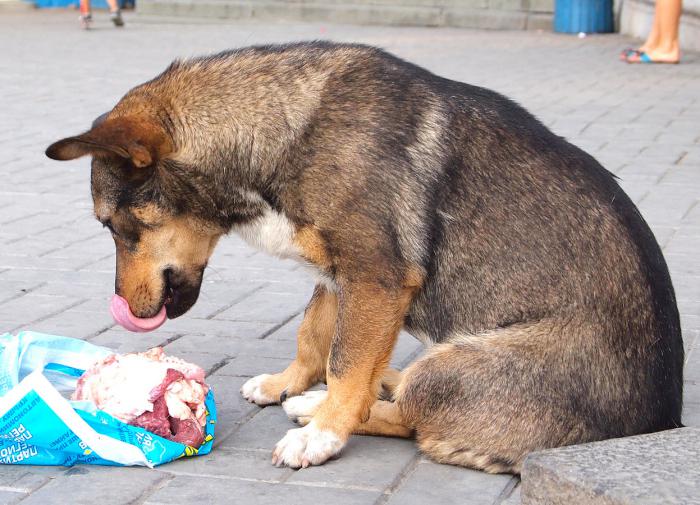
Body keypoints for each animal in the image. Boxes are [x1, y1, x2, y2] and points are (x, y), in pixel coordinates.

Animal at [45, 41, 684, 470]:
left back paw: (330, 408)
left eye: (113, 227)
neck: (280, 135)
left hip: (450, 370)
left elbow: (347, 363)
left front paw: (325, 431)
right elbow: (316, 336)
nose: (124, 308)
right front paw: (289, 382)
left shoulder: (375, 279)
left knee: (417, 420)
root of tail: (662, 421)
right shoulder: (338, 277)